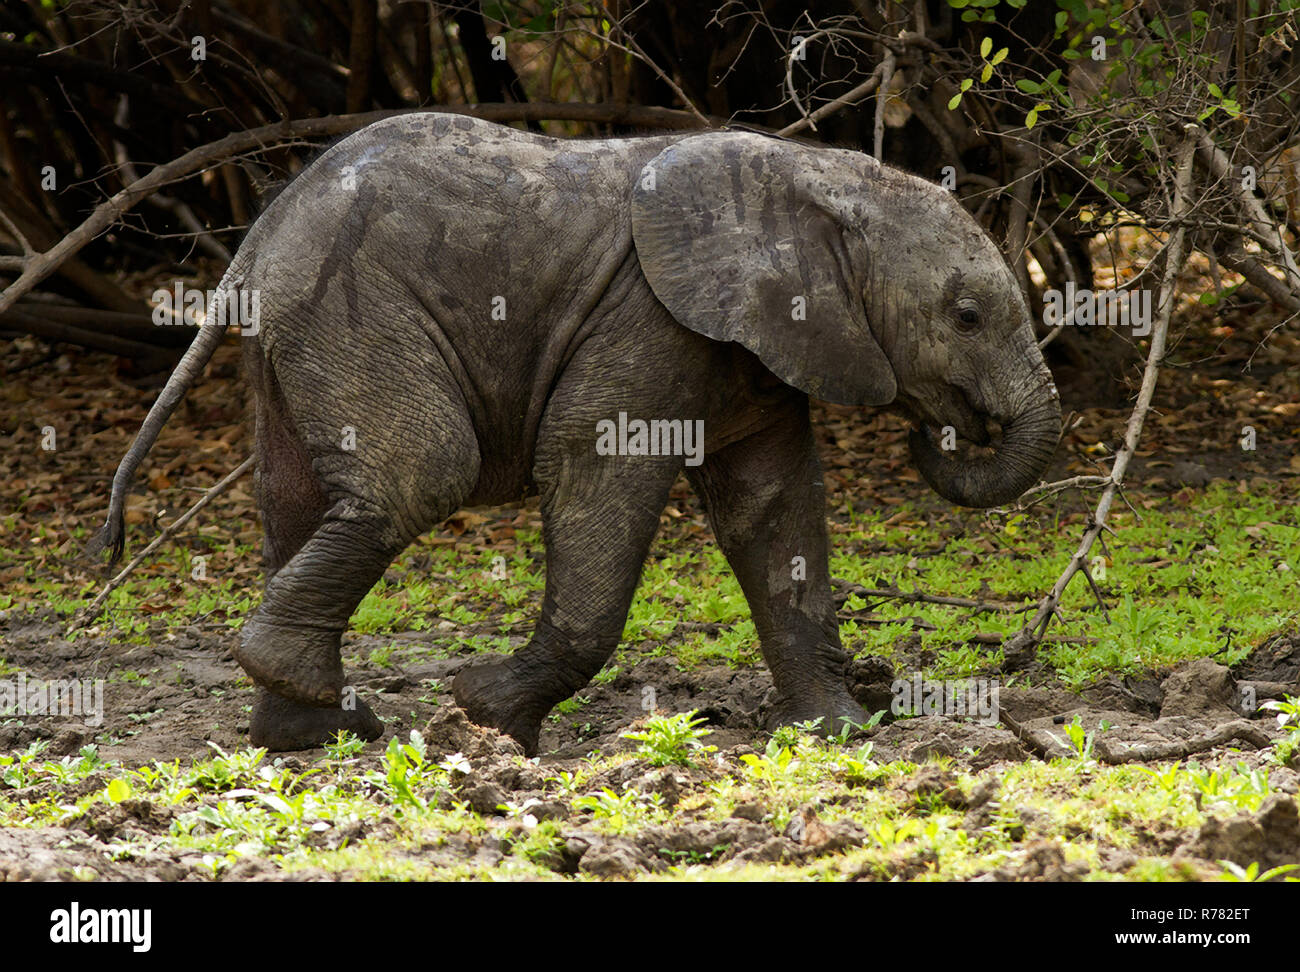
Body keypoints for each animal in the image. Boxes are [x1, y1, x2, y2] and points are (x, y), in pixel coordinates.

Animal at [96, 111, 1060, 753]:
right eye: (967, 317)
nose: (943, 431)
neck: (823, 177)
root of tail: (259, 232)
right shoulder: (649, 319)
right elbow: (597, 463)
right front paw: (485, 713)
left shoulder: (758, 344)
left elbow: (774, 505)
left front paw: (840, 730)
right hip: (350, 304)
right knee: (423, 471)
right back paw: (327, 701)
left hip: (295, 328)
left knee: (292, 495)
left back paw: (315, 731)